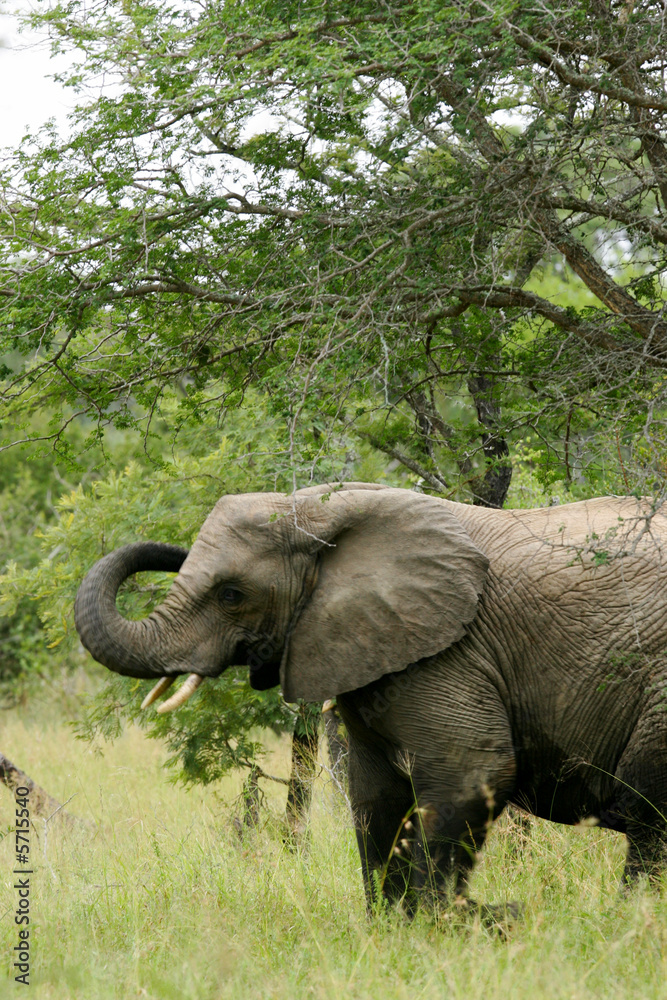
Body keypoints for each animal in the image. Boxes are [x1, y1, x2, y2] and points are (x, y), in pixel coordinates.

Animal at [74, 482, 667, 913]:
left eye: (231, 594)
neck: (322, 511)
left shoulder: (450, 650)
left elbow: (472, 773)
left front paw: (440, 928)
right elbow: (374, 797)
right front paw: (389, 930)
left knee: (649, 815)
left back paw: (632, 921)